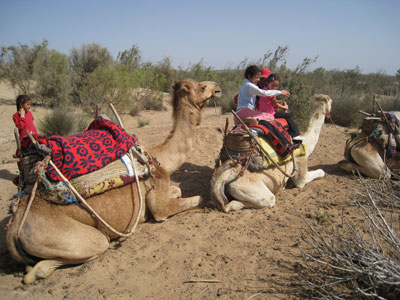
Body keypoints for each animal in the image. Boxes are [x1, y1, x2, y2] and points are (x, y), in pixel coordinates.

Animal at [5, 78, 222, 284]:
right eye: (202, 87)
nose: (217, 87)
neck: (158, 158)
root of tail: (13, 229)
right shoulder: (160, 207)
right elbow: (197, 198)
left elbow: (177, 190)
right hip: (68, 237)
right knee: (80, 251)